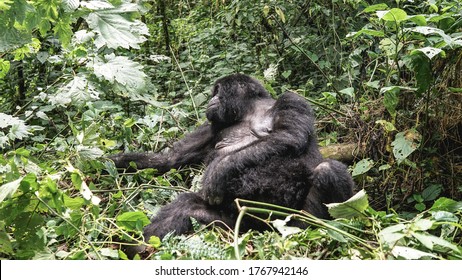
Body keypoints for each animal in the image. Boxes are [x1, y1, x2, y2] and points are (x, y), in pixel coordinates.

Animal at [110, 74, 356, 245]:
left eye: (218, 91)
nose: (210, 100)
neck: (250, 111)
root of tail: (267, 229)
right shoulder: (212, 126)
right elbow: (170, 160)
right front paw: (112, 162)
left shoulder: (292, 98)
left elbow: (289, 135)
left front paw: (219, 172)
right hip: (241, 225)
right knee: (186, 206)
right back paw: (142, 246)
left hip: (294, 221)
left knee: (327, 170)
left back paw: (333, 225)